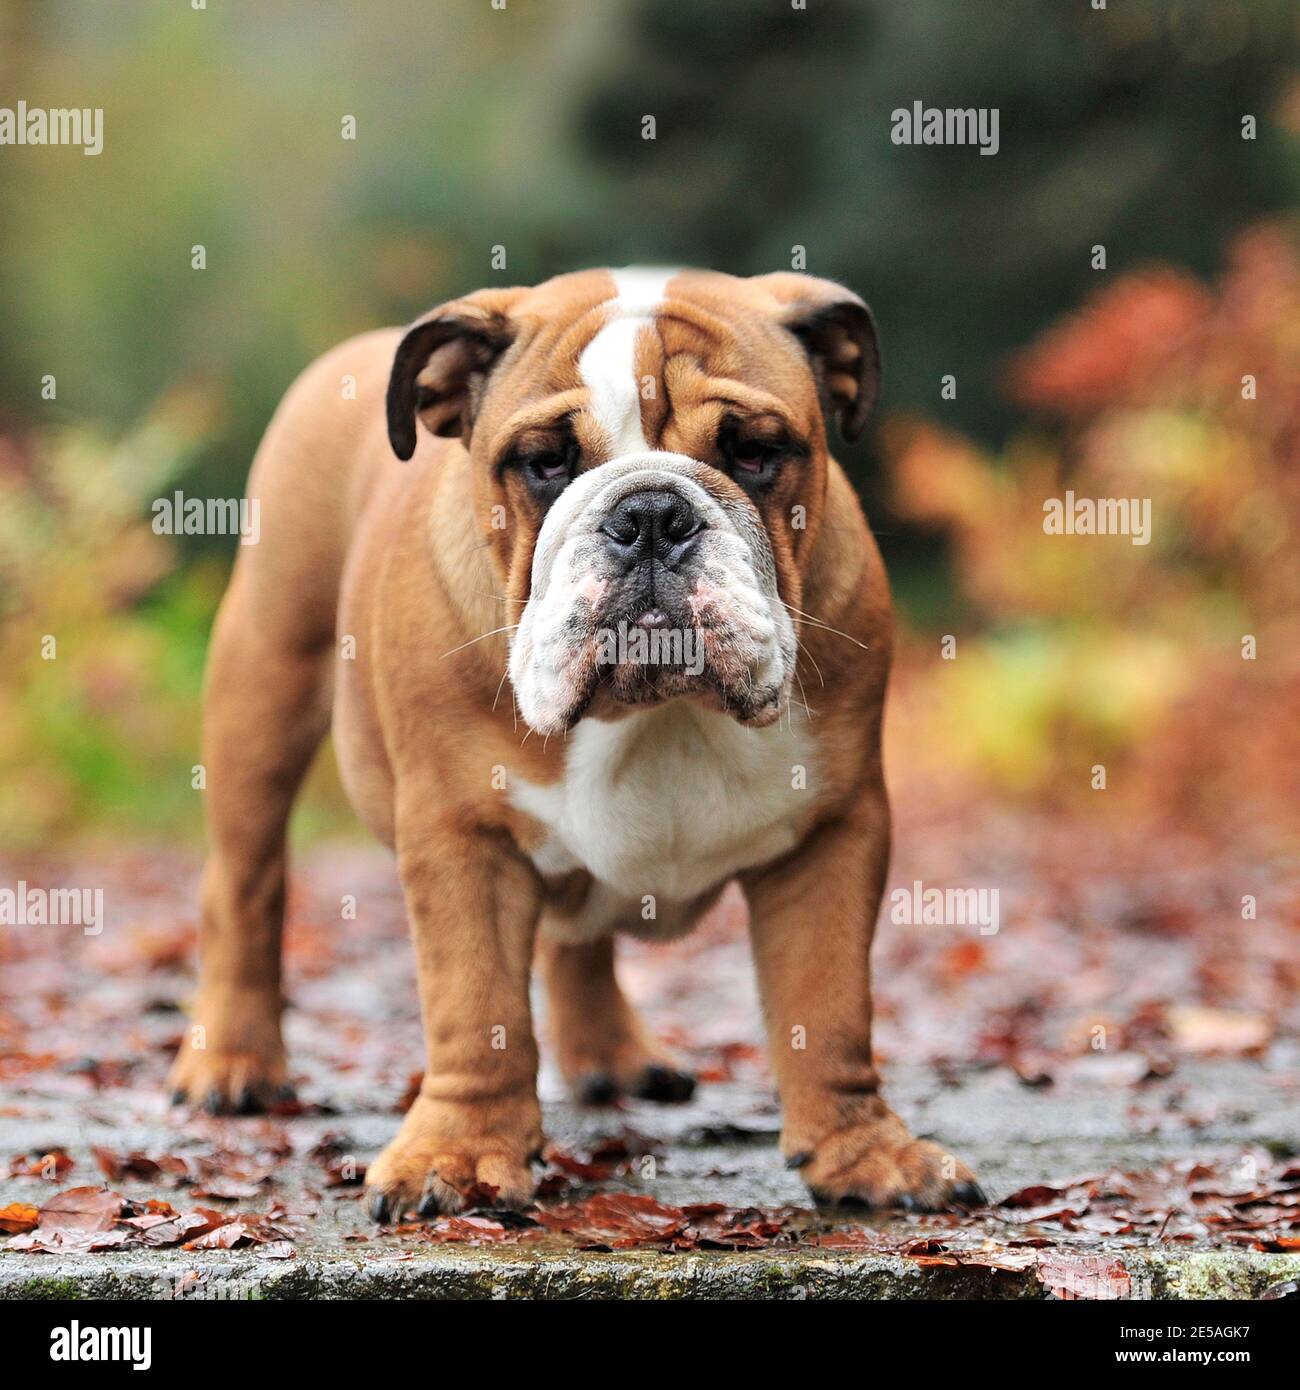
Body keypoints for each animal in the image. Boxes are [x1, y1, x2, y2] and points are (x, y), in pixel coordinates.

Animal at [173, 262, 984, 1217]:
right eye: (544, 463)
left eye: (753, 451)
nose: (651, 514)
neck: (654, 714)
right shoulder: (462, 836)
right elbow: (475, 1005)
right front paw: (458, 1153)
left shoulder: (832, 832)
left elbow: (827, 1008)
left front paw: (864, 1154)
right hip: (261, 690)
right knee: (245, 888)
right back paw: (233, 1065)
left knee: (577, 935)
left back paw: (613, 1058)